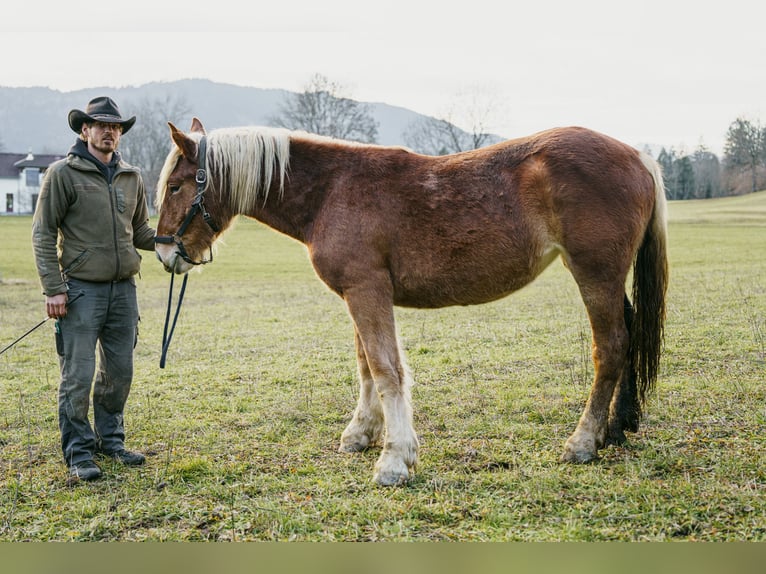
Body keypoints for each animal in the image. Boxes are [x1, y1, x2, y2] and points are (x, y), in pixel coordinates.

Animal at [153, 119, 668, 488]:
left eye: (176, 186)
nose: (162, 252)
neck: (332, 190)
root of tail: (638, 156)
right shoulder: (357, 294)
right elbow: (366, 366)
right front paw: (361, 434)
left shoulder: (367, 291)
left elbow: (386, 370)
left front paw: (395, 459)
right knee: (628, 336)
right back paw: (617, 426)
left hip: (595, 275)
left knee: (610, 348)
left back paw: (583, 441)